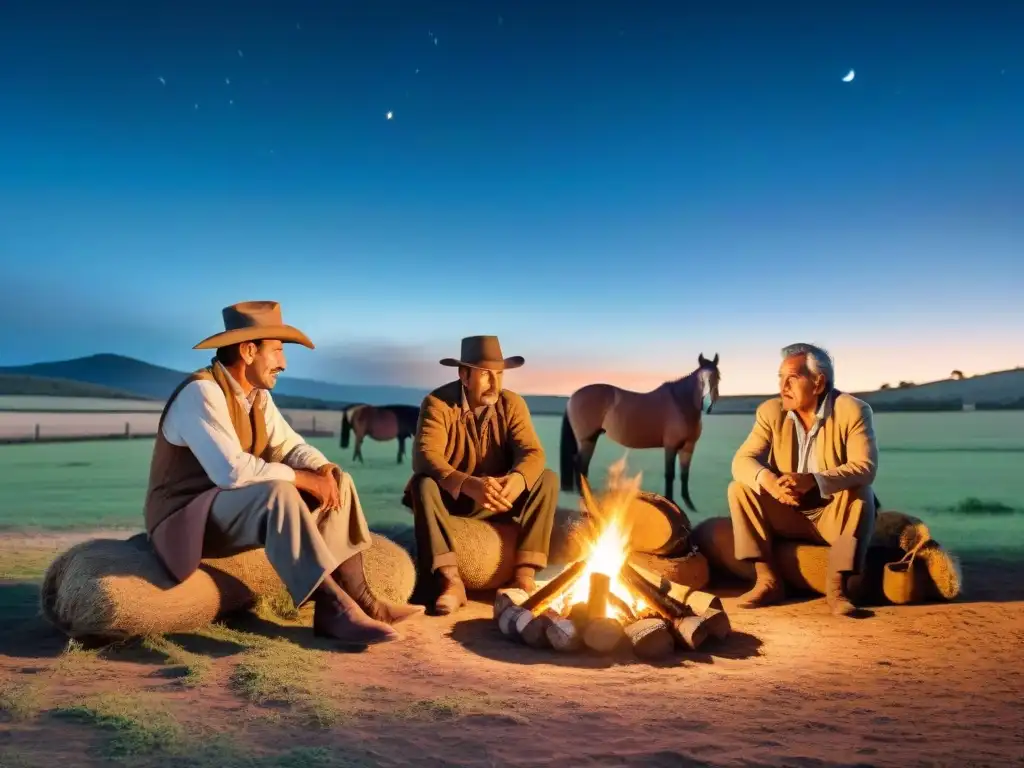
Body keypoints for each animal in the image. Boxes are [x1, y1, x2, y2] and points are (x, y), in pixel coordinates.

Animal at [561, 356, 720, 514]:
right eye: (701, 379)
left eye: (717, 377)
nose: (707, 405)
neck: (680, 404)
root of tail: (573, 396)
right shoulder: (670, 447)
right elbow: (670, 474)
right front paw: (671, 503)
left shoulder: (688, 447)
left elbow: (684, 475)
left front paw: (689, 504)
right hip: (587, 440)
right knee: (580, 464)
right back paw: (586, 499)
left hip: (590, 439)